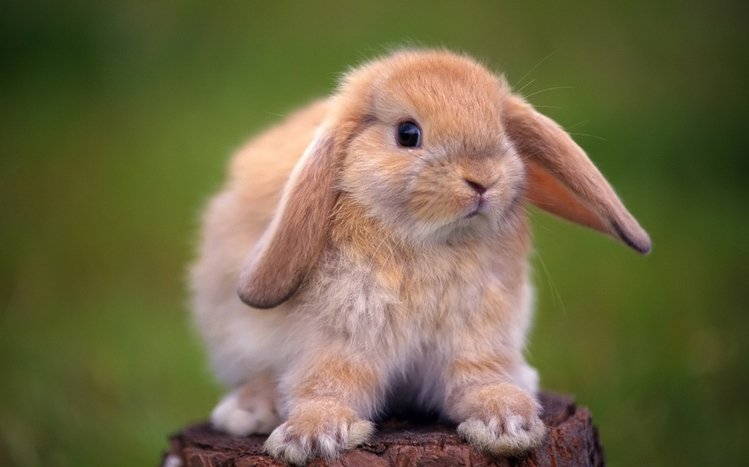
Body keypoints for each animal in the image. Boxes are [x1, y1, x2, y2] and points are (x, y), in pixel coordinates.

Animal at [190, 48, 651, 464]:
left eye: (502, 131)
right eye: (408, 134)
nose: (483, 179)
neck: (432, 241)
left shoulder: (477, 335)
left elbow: (479, 380)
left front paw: (508, 424)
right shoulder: (340, 338)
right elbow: (328, 385)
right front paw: (308, 438)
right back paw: (249, 410)